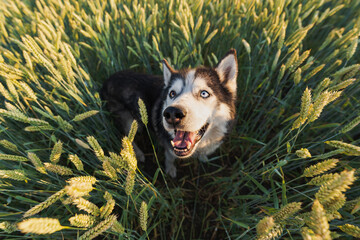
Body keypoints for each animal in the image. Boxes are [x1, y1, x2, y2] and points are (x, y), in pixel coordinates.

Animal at [101, 49, 236, 176]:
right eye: (172, 93)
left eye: (204, 93)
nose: (172, 113)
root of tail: (108, 79)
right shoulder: (169, 148)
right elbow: (170, 158)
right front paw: (170, 169)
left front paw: (203, 158)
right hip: (130, 122)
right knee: (127, 137)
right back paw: (137, 155)